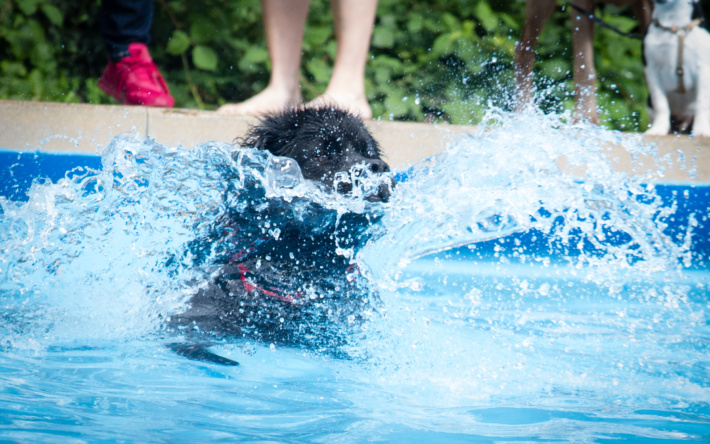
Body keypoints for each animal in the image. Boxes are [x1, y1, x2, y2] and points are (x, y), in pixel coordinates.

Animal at [648, 0, 710, 136]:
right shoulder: (651, 69)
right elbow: (660, 103)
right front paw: (658, 129)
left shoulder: (703, 67)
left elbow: (702, 103)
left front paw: (701, 130)